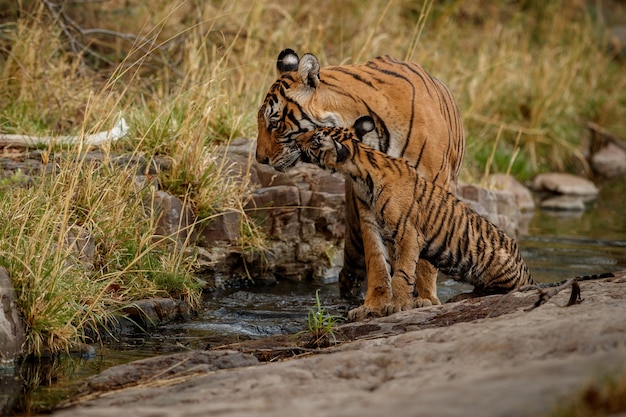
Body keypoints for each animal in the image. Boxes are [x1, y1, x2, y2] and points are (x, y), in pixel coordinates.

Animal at [254, 49, 464, 322]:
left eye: (275, 123)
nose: (260, 159)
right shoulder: (366, 196)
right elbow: (376, 256)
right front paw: (374, 305)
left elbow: (424, 262)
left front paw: (426, 299)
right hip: (354, 238)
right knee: (348, 275)